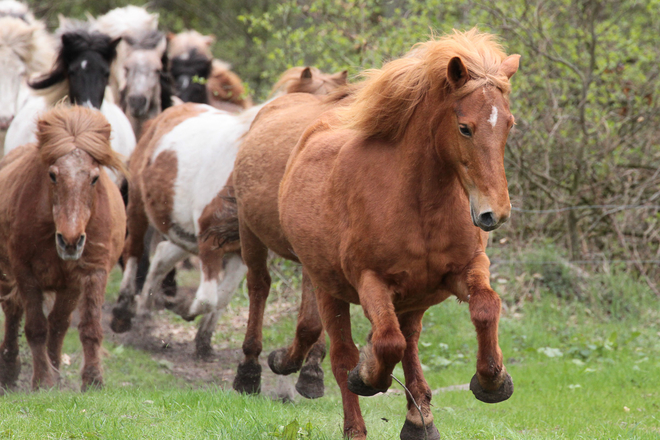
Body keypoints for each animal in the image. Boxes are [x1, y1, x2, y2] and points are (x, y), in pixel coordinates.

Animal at [0, 105, 126, 392]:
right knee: (12, 312)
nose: (70, 240)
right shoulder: (25, 272)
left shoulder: (92, 272)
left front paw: (93, 380)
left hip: (69, 287)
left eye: (94, 178)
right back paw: (9, 369)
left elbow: (88, 327)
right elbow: (36, 327)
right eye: (52, 175)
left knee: (58, 324)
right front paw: (42, 380)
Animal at [276, 29, 520, 438]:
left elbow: (486, 307)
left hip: (412, 300)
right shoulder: (371, 281)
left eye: (509, 124)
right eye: (464, 127)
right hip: (328, 289)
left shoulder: (465, 268)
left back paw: (420, 421)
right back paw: (357, 422)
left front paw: (493, 382)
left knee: (411, 345)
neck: (419, 204)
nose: (494, 213)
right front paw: (367, 375)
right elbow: (385, 343)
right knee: (347, 356)